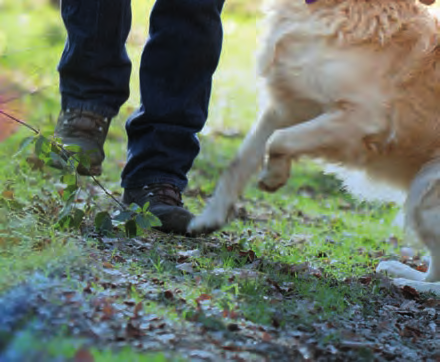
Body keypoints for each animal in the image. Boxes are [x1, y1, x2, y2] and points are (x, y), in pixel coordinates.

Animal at [188, 0, 440, 294]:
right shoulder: (287, 106)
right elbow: (240, 161)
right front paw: (209, 218)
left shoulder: (361, 118)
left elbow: (279, 140)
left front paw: (273, 176)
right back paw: (399, 271)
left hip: (426, 190)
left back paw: (409, 284)